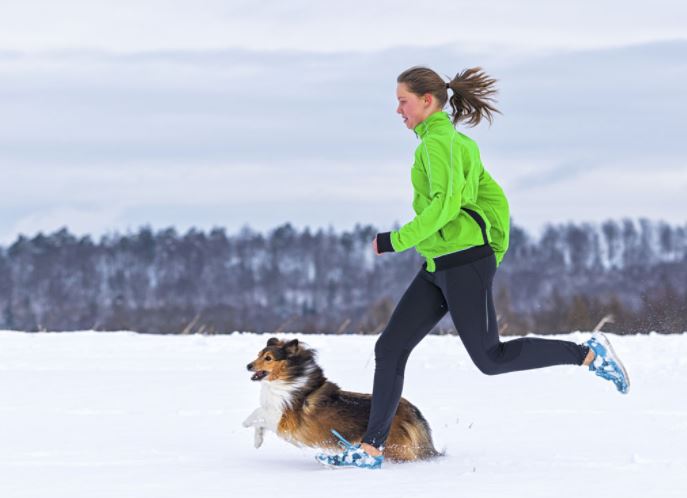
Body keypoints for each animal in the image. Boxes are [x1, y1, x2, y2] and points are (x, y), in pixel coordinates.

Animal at [243, 336, 440, 462]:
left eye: (268, 358)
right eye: (258, 354)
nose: (248, 366)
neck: (289, 376)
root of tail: (412, 411)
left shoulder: (284, 419)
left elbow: (258, 412)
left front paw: (245, 423)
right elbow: (260, 421)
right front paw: (257, 441)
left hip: (394, 447)